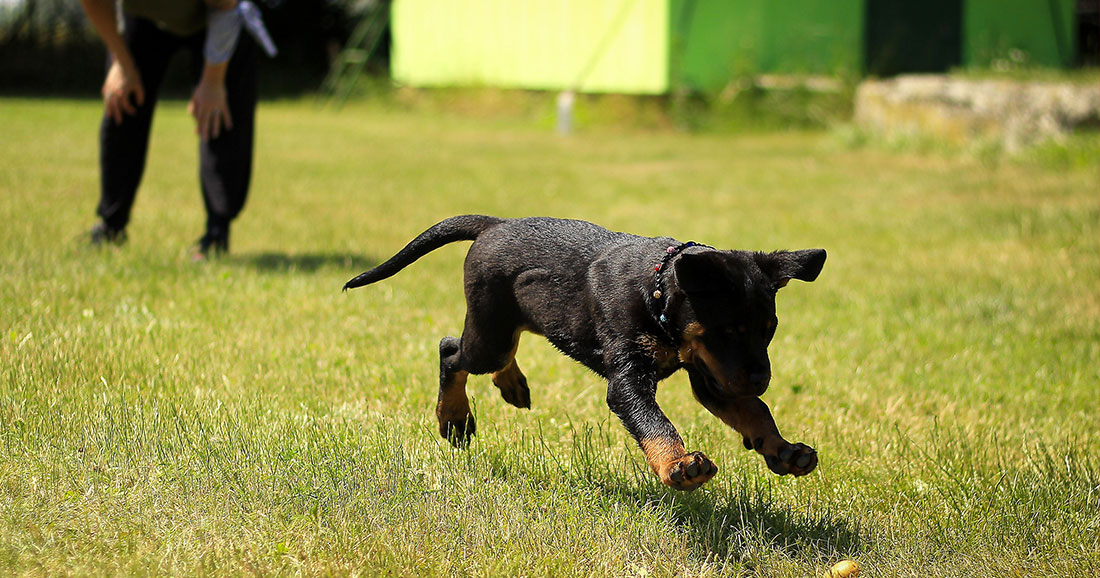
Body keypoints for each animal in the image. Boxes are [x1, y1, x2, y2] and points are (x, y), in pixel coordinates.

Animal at [343, 213, 827, 488]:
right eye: (726, 330)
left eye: (769, 330)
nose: (761, 379)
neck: (657, 293)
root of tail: (494, 224)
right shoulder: (631, 378)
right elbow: (655, 422)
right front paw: (678, 465)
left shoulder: (713, 376)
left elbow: (755, 412)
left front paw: (784, 450)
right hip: (490, 332)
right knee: (451, 351)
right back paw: (455, 418)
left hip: (512, 321)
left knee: (497, 350)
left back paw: (512, 385)